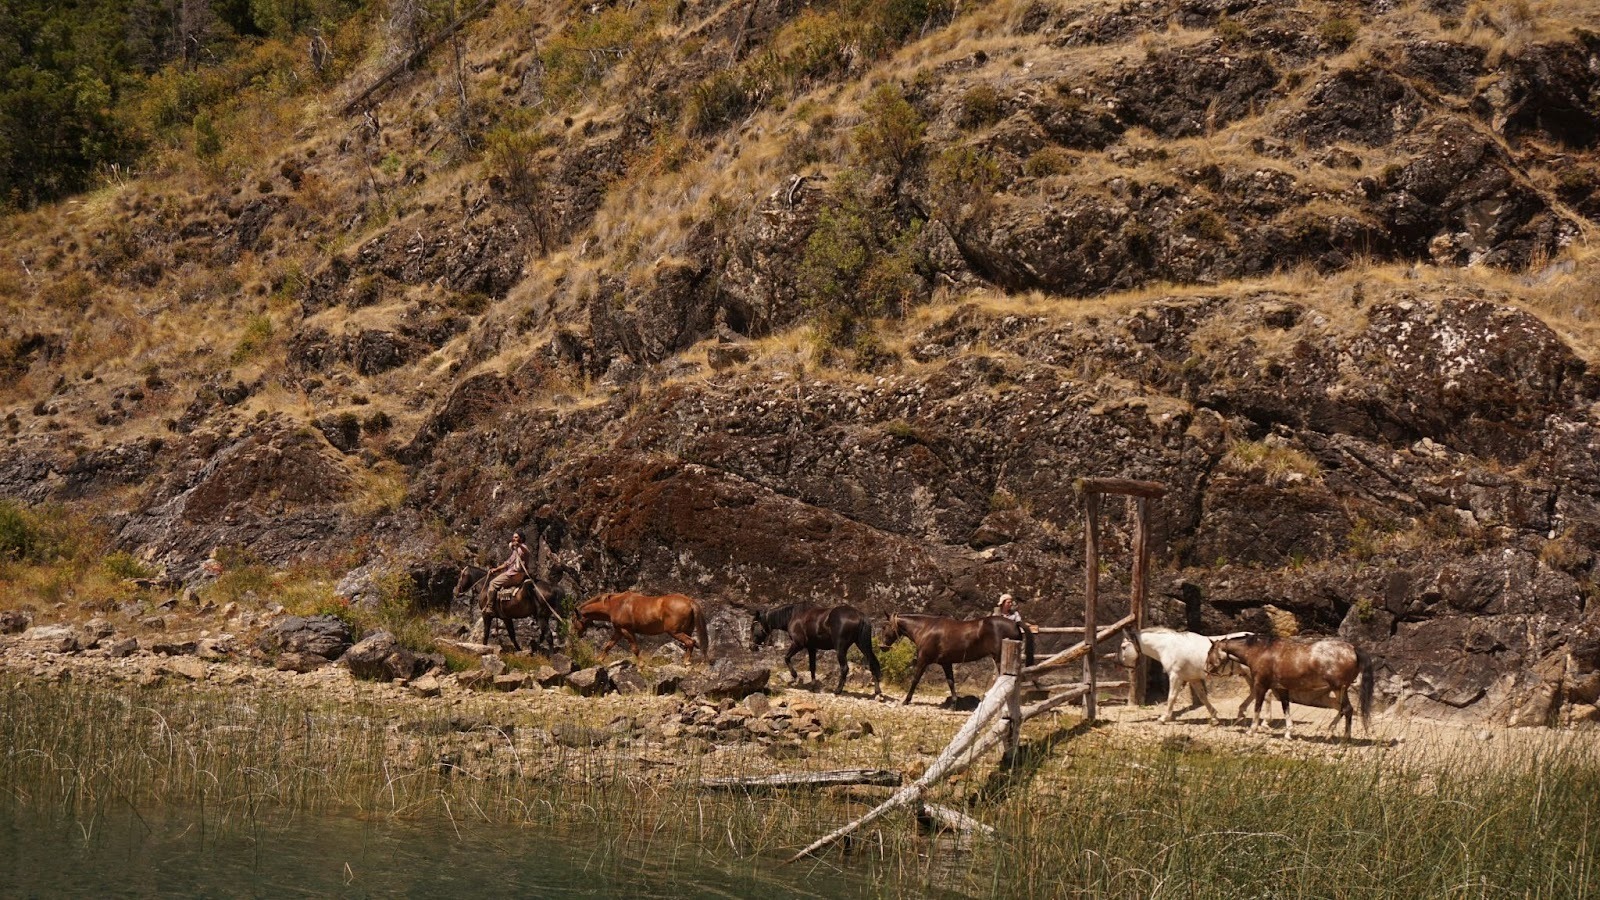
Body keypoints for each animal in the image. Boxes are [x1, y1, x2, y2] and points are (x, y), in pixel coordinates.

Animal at [575, 591, 711, 662]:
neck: (617, 605)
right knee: (690, 643)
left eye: (573, 620)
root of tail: (689, 601)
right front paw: (599, 660)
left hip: (675, 632)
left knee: (690, 642)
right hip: (687, 630)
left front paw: (641, 666)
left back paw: (686, 663)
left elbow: (635, 649)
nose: (577, 635)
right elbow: (608, 646)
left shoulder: (626, 630)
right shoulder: (619, 631)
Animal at [751, 603, 882, 697]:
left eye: (753, 627)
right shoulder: (811, 648)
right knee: (872, 663)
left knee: (844, 668)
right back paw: (878, 692)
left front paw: (794, 675)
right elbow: (812, 667)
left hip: (841, 649)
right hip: (863, 645)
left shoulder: (798, 644)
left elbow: (786, 658)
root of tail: (860, 615)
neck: (794, 616)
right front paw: (813, 687)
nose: (751, 646)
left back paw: (837, 691)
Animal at [880, 613, 1035, 706]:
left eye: (885, 627)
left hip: (999, 659)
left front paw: (906, 700)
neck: (925, 629)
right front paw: (954, 704)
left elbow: (915, 679)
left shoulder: (923, 661)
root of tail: (1015, 624)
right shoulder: (946, 663)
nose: (882, 647)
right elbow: (951, 682)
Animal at [1208, 633, 1375, 740]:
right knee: (1343, 709)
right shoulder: (1281, 688)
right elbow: (1286, 709)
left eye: (1210, 653)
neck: (1261, 651)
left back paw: (1345, 738)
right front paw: (1288, 733)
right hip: (1340, 690)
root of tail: (1353, 649)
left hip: (1338, 688)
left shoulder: (1261, 685)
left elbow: (1257, 708)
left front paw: (1252, 730)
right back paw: (1330, 732)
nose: (1208, 670)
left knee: (1347, 709)